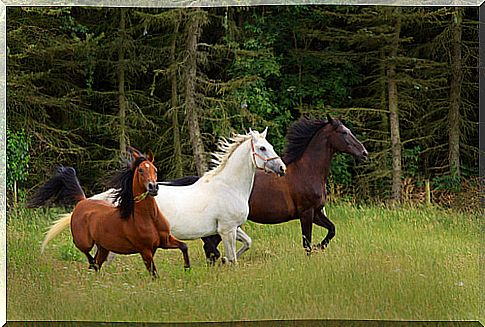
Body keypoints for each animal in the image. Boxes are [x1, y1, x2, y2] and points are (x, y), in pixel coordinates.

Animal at [27, 148, 191, 276]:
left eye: (155, 169)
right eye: (141, 170)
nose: (153, 187)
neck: (147, 218)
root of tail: (82, 201)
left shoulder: (164, 241)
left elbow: (184, 247)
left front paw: (187, 269)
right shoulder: (145, 250)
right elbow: (154, 274)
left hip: (104, 247)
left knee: (98, 262)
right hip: (85, 242)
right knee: (85, 252)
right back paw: (91, 263)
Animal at [91, 128, 284, 264]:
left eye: (271, 146)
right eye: (262, 148)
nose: (282, 168)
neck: (229, 187)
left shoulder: (232, 228)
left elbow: (247, 243)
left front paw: (223, 260)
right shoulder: (227, 229)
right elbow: (233, 259)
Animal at [166, 116, 366, 262]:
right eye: (343, 132)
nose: (364, 153)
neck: (307, 171)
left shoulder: (316, 212)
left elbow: (332, 230)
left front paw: (320, 246)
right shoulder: (306, 213)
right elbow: (307, 243)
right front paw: (314, 252)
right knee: (210, 249)